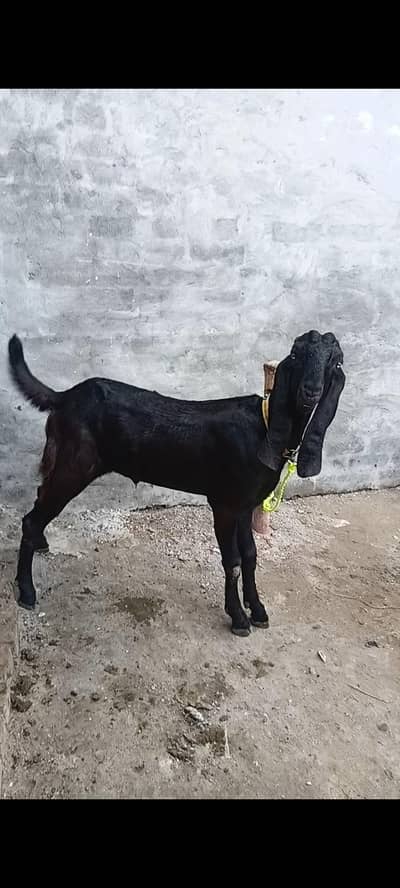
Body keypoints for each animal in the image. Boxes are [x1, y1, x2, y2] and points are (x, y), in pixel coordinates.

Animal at [8, 330, 345, 636]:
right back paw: (26, 592)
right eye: (296, 354)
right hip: (75, 465)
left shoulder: (246, 505)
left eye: (335, 360)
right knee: (32, 518)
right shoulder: (224, 503)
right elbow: (233, 560)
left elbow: (250, 556)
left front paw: (258, 610)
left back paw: (41, 544)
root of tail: (64, 397)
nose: (310, 392)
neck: (264, 427)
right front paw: (238, 618)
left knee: (40, 497)